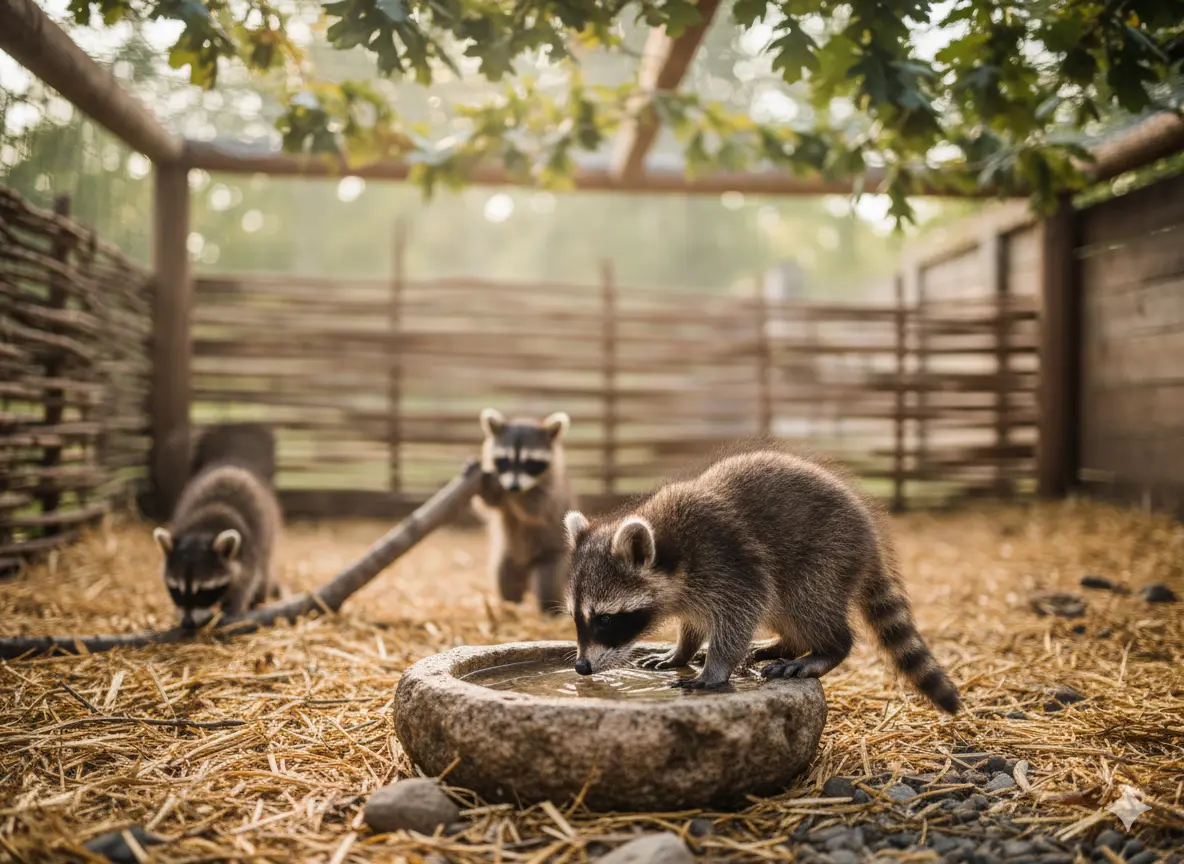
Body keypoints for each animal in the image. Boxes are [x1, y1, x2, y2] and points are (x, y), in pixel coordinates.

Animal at [152, 464, 283, 629]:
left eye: (201, 592)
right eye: (177, 590)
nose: (188, 623)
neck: (201, 532)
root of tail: (231, 469)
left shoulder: (248, 551)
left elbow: (246, 582)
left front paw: (232, 607)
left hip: (267, 532)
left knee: (263, 569)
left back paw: (258, 600)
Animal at [474, 408, 576, 616]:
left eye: (530, 462)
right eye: (505, 460)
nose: (513, 487)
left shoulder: (553, 491)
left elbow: (535, 509)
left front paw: (516, 496)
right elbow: (488, 506)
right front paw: (492, 489)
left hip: (555, 556)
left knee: (548, 582)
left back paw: (551, 612)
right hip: (508, 556)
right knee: (504, 576)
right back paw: (510, 606)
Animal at [562, 449, 961, 714]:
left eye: (605, 619)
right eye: (576, 618)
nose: (581, 667)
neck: (670, 548)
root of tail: (870, 538)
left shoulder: (728, 563)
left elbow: (741, 611)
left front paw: (714, 669)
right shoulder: (693, 589)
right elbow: (694, 622)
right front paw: (682, 650)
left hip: (826, 556)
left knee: (806, 603)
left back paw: (827, 648)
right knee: (786, 612)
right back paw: (787, 643)